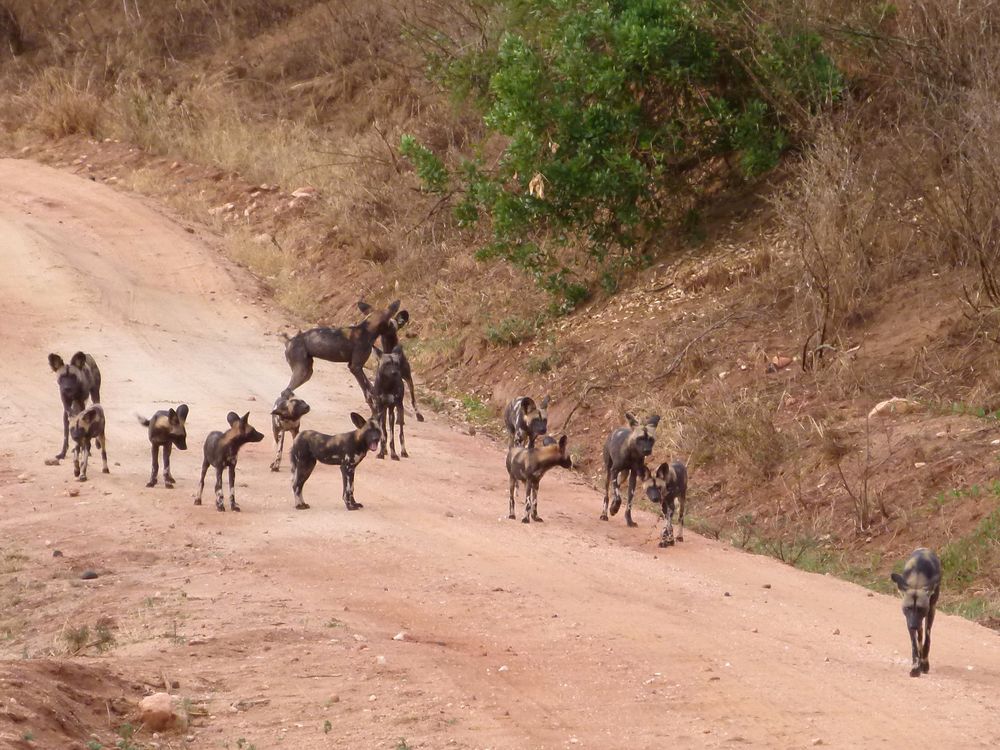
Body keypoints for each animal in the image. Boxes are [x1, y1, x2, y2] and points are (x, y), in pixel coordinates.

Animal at [896, 548, 940, 680]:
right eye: (908, 608)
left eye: (920, 609)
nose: (913, 626)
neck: (917, 579)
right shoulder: (908, 619)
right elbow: (914, 645)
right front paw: (916, 668)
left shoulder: (930, 611)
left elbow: (927, 641)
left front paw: (924, 664)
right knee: (919, 637)